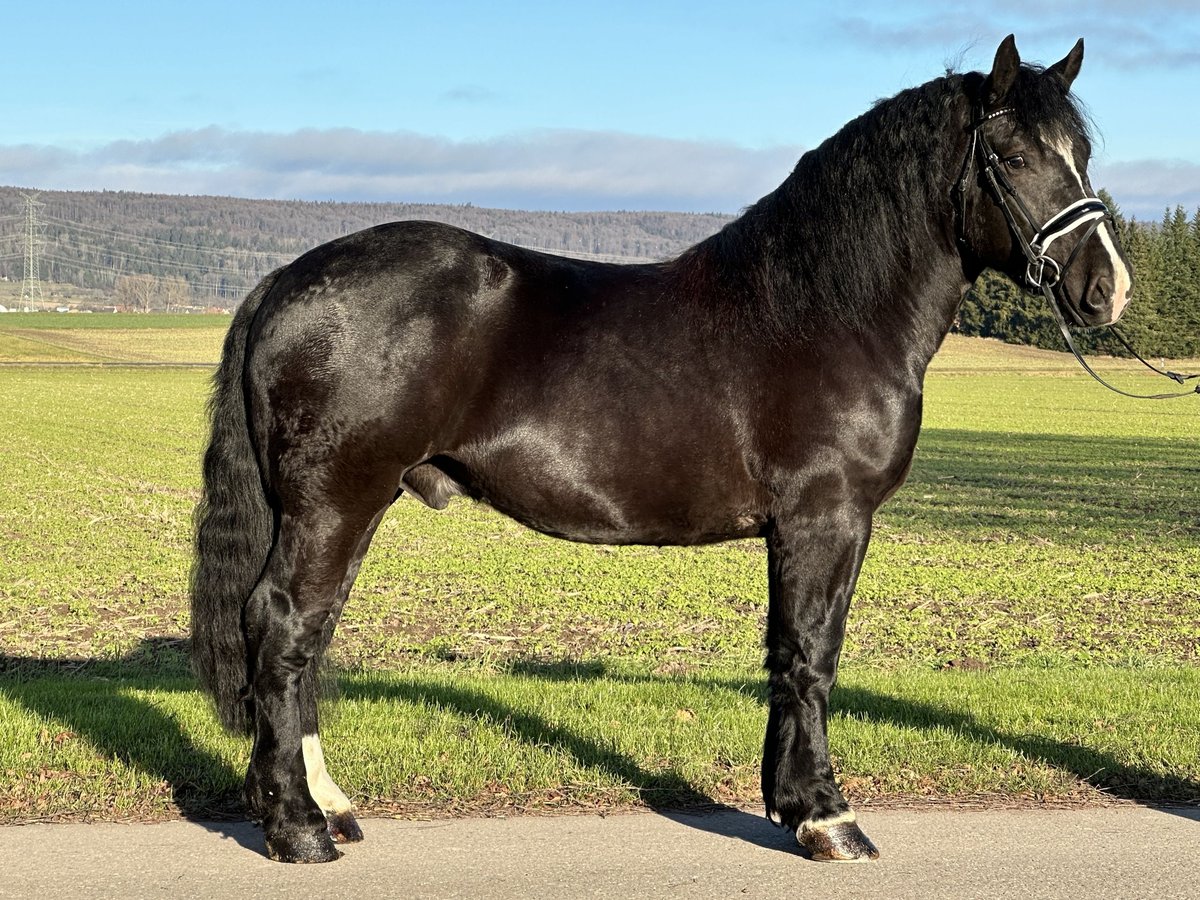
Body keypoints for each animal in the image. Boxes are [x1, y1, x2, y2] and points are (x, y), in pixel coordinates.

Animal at [189, 37, 1132, 868]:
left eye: (1082, 151)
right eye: (1012, 155)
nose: (1106, 289)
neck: (823, 310)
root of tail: (285, 280)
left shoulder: (801, 529)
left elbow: (785, 653)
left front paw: (790, 805)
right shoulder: (827, 520)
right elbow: (811, 655)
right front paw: (829, 819)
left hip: (350, 502)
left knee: (307, 636)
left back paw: (327, 808)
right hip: (336, 502)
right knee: (285, 626)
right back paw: (299, 830)